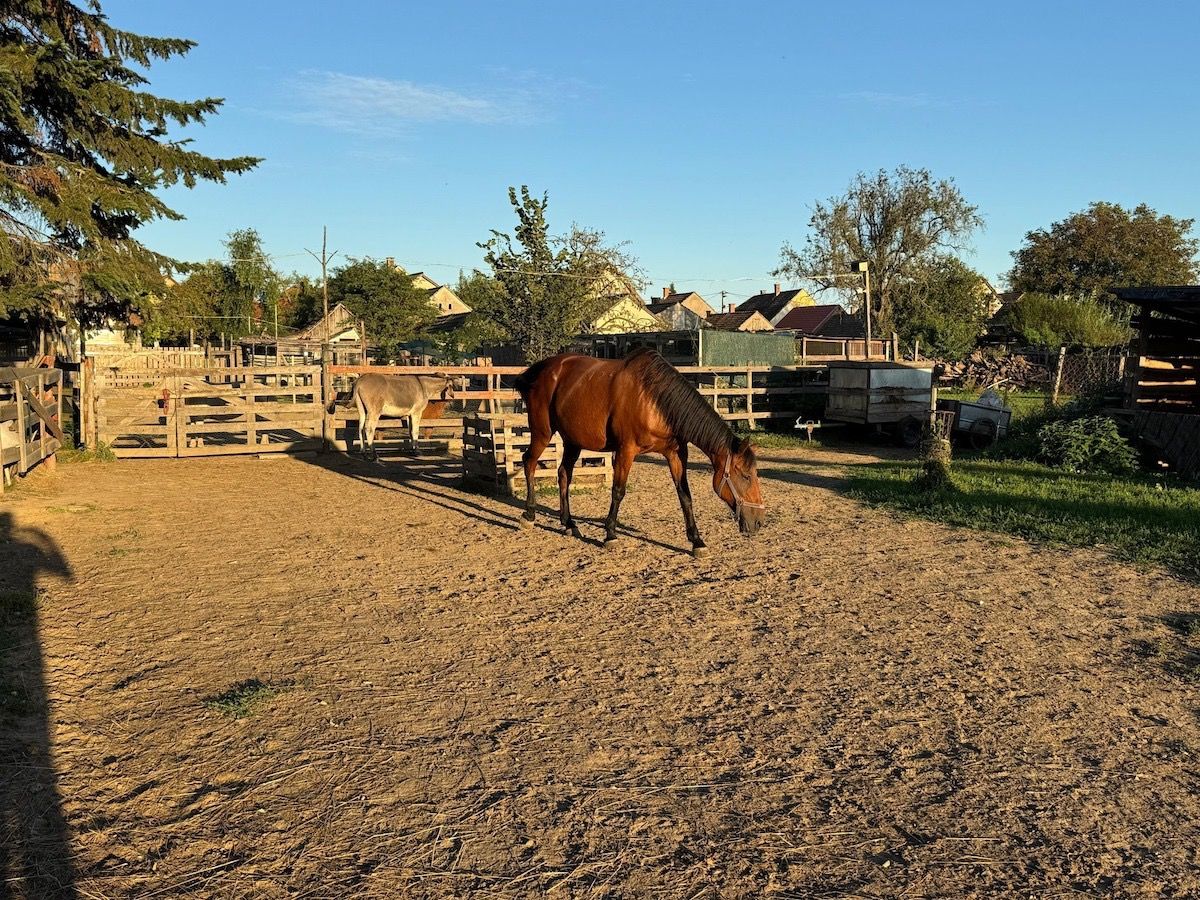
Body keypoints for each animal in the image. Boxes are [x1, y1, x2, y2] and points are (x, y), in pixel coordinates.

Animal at [513, 349, 766, 556]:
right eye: (745, 476)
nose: (758, 522)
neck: (655, 400)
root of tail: (543, 369)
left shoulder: (676, 454)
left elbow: (685, 495)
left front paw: (697, 541)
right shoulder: (626, 451)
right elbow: (618, 491)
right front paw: (610, 535)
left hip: (572, 441)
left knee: (564, 474)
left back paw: (569, 524)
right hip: (543, 432)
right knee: (529, 462)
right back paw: (529, 515)